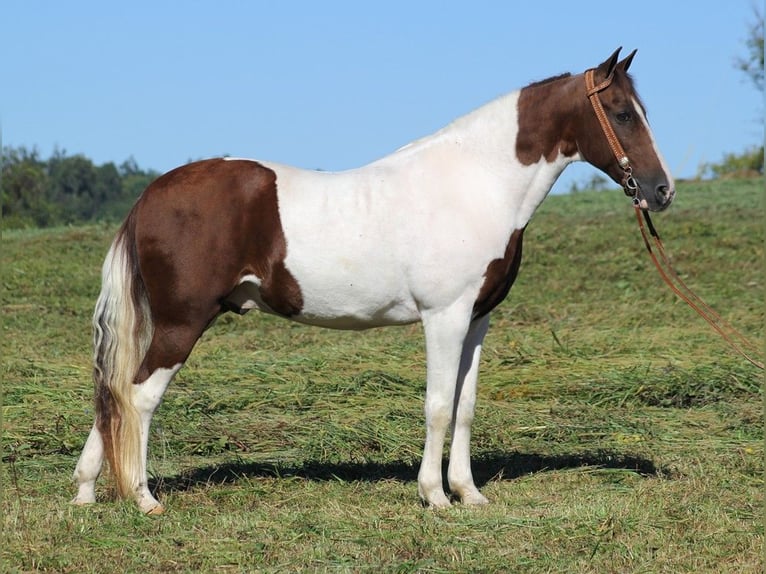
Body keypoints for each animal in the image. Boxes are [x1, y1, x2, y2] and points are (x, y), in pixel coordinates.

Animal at [70, 49, 672, 516]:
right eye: (622, 113)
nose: (661, 190)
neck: (476, 182)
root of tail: (149, 197)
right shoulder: (444, 317)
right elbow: (438, 405)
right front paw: (434, 496)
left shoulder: (477, 320)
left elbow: (466, 406)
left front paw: (468, 493)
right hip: (183, 321)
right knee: (138, 395)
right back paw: (143, 498)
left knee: (113, 397)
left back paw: (85, 491)